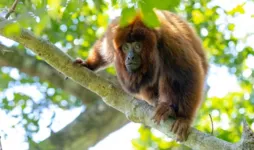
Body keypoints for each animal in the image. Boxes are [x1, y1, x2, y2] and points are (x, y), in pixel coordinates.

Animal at [74, 10, 207, 141]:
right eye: (126, 47)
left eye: (138, 46)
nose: (130, 57)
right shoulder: (113, 35)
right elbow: (103, 50)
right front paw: (89, 64)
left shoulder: (169, 39)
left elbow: (188, 73)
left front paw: (184, 119)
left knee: (169, 72)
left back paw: (167, 108)